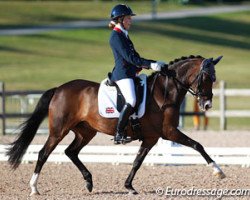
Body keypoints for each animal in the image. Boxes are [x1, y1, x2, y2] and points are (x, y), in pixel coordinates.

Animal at [5, 54, 225, 195]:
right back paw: (34, 188)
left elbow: (137, 162)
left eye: (214, 78)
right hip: (59, 130)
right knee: (44, 153)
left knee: (71, 152)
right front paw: (218, 171)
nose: (207, 104)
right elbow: (197, 145)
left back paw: (89, 182)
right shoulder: (169, 132)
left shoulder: (151, 137)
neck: (164, 93)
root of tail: (59, 88)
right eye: (206, 77)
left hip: (86, 132)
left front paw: (129, 186)